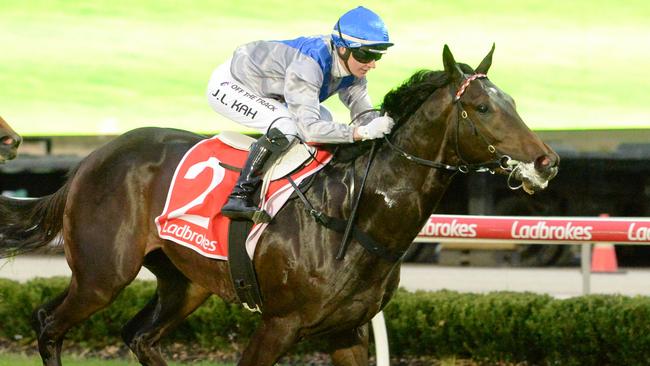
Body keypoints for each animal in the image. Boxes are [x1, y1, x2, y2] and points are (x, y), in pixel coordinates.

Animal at [0, 46, 556, 366]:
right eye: (482, 107)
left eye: (512, 102)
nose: (546, 162)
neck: (353, 214)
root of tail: (90, 160)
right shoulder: (278, 325)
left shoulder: (348, 331)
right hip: (102, 275)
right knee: (49, 324)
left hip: (184, 282)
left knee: (140, 336)